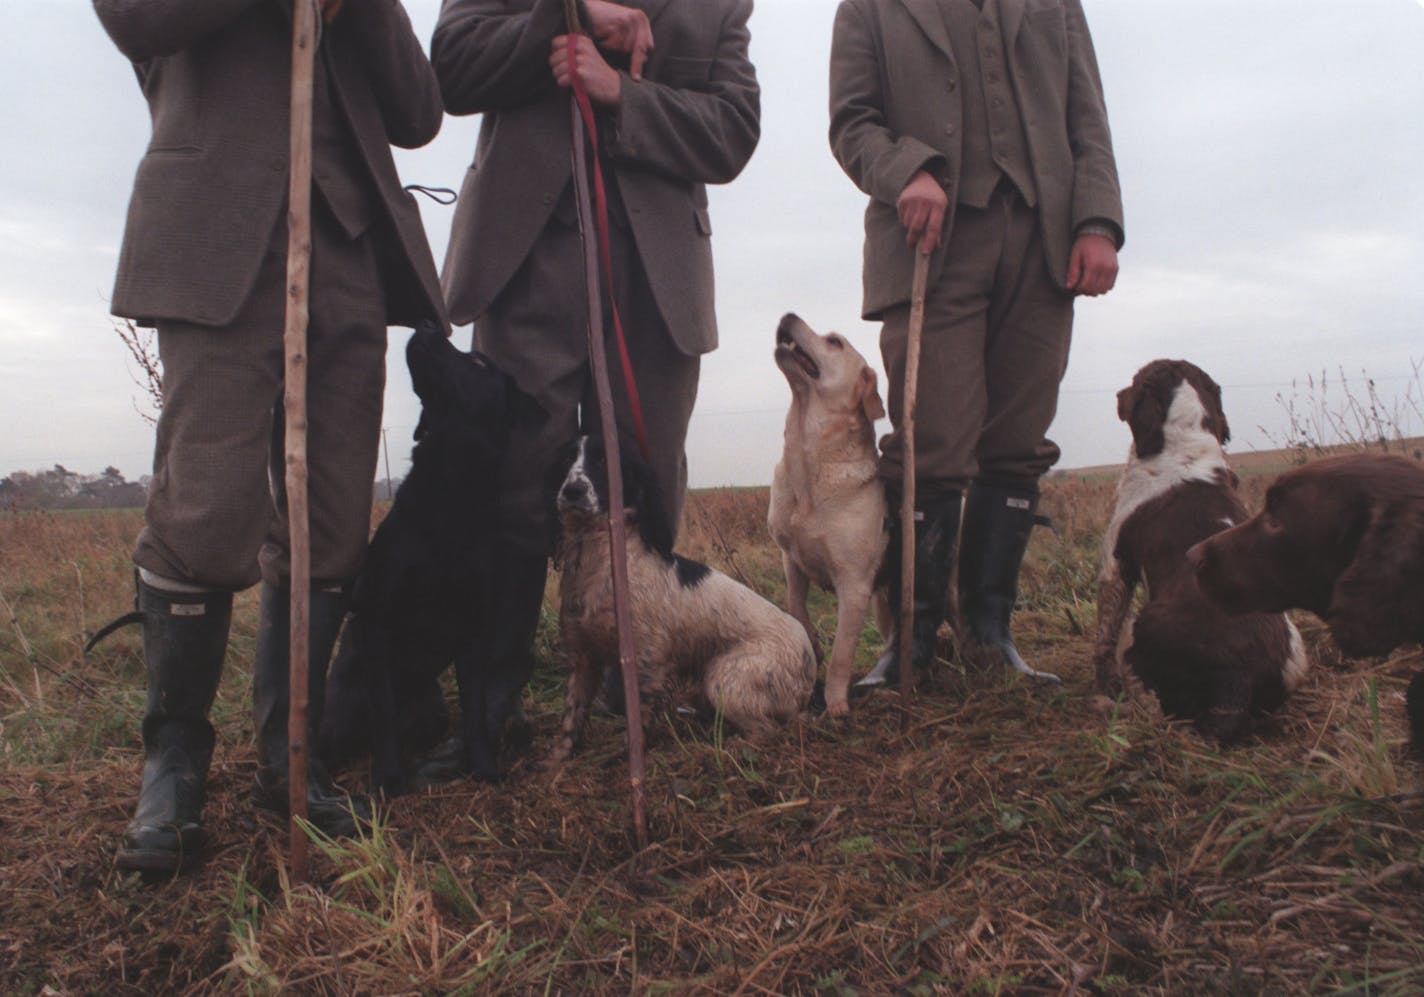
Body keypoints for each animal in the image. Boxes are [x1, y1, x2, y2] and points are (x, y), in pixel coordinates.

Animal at [546, 435, 820, 763]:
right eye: (566, 459)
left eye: (603, 460)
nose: (572, 490)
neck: (600, 560)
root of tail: (810, 662)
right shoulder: (583, 656)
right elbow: (572, 716)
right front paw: (558, 759)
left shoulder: (647, 659)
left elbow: (638, 720)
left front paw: (628, 754)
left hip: (723, 677)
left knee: (767, 730)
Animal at [774, 314, 882, 712]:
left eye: (835, 342)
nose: (787, 314)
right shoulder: (791, 558)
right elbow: (797, 608)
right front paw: (813, 647)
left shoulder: (854, 585)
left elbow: (842, 655)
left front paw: (836, 704)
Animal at [1093, 361, 1304, 746]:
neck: (1184, 448)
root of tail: (1237, 678)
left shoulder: (1115, 566)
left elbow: (1103, 636)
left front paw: (1103, 688)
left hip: (1139, 630)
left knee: (1155, 708)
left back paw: (1112, 707)